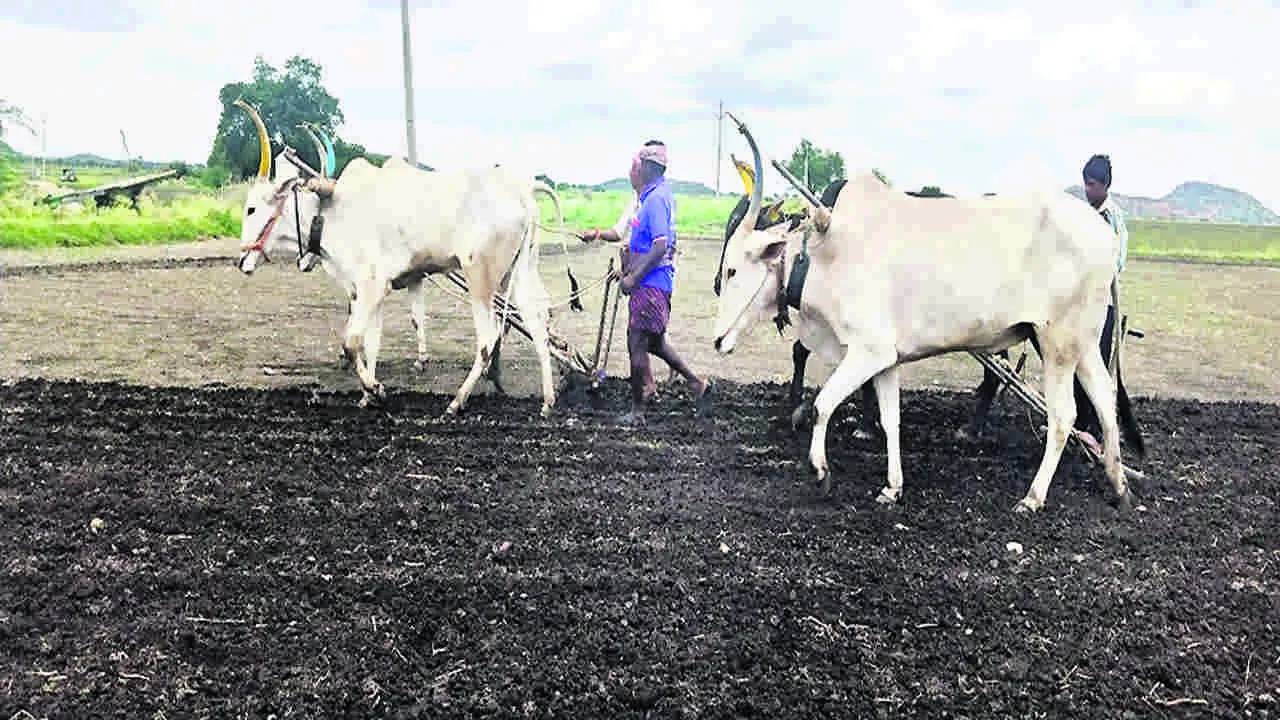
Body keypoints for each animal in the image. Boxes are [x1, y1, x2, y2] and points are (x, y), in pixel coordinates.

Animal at [230, 99, 561, 416]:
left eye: (251, 208)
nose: (241, 262)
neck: (330, 212)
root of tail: (523, 193)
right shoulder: (372, 291)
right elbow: (370, 345)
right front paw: (368, 395)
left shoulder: (372, 286)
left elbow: (352, 343)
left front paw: (375, 390)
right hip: (519, 272)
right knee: (538, 325)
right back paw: (547, 401)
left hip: (480, 276)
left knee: (488, 340)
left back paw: (457, 401)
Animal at [711, 114, 1132, 513]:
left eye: (733, 269)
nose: (717, 340)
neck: (821, 252)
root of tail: (1105, 235)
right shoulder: (885, 360)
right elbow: (890, 420)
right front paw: (892, 487)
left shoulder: (868, 352)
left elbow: (821, 406)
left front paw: (820, 471)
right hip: (1083, 344)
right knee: (1105, 400)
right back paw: (1119, 486)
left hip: (1056, 343)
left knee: (1064, 416)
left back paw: (1033, 497)